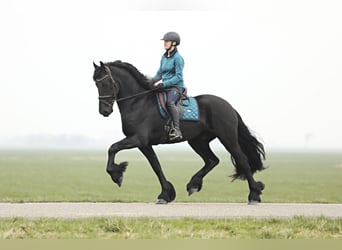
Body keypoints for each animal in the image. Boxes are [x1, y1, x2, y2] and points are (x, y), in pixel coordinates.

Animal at [92, 61, 266, 205]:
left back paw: (254, 195)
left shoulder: (138, 139)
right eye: (96, 83)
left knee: (242, 160)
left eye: (106, 83)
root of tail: (228, 106)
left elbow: (113, 148)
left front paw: (117, 175)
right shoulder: (144, 144)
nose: (104, 111)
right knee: (212, 160)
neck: (138, 102)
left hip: (227, 138)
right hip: (197, 141)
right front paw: (165, 194)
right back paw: (193, 185)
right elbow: (156, 166)